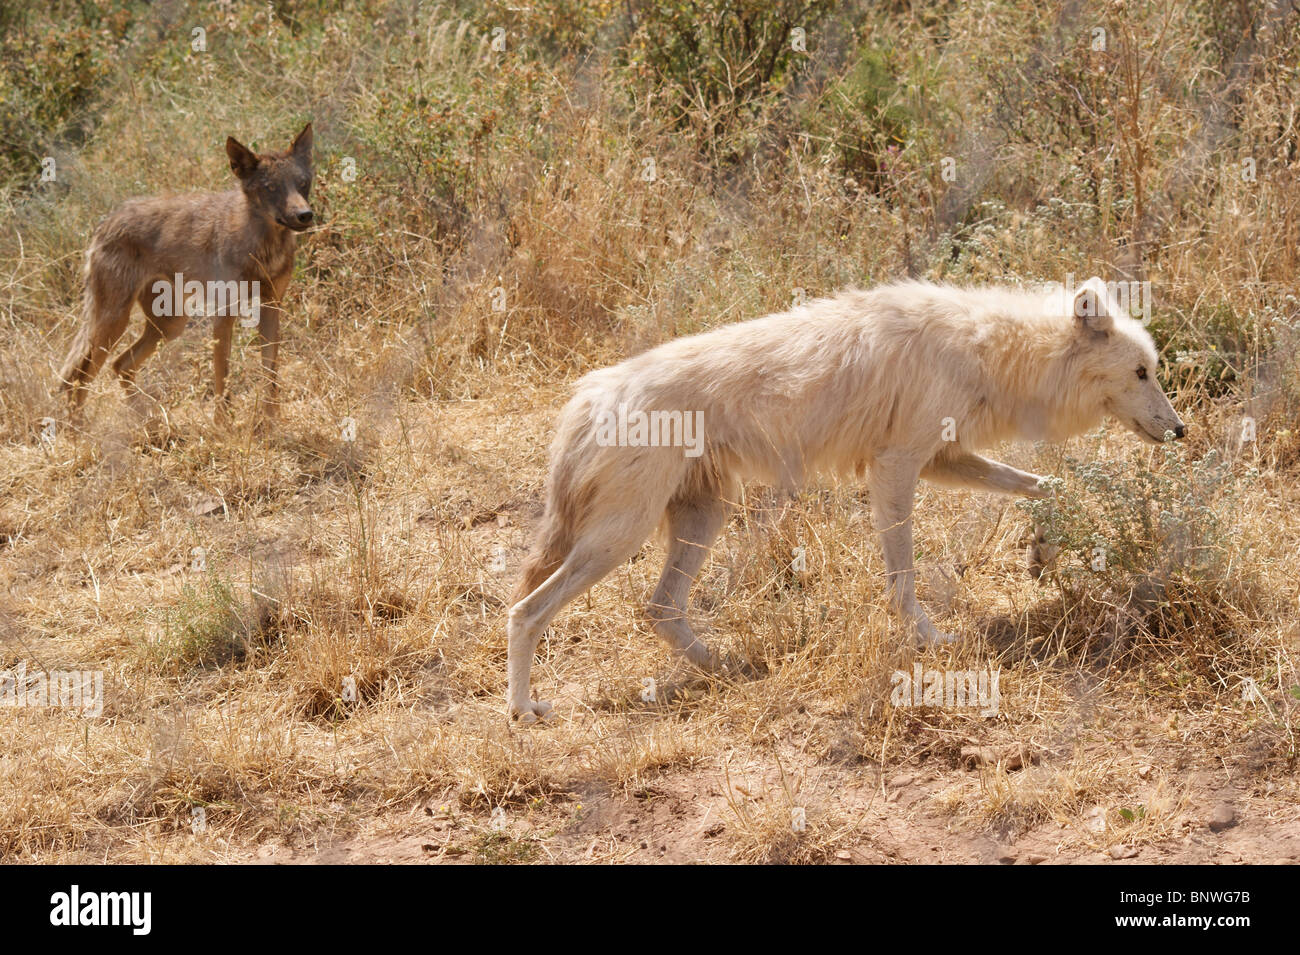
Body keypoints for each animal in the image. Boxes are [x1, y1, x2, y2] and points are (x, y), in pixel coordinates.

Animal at [58, 123, 315, 426]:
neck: (263, 245)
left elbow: (271, 375)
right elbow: (222, 378)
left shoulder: (271, 307)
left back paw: (150, 423)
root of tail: (105, 222)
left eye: (302, 183)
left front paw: (272, 422)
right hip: (113, 324)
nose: (305, 215)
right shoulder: (224, 313)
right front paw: (223, 427)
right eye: (271, 188)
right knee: (77, 377)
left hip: (169, 324)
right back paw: (78, 432)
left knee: (120, 364)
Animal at [506, 278, 1186, 722]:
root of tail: (586, 397)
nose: (1180, 431)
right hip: (621, 538)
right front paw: (930, 640)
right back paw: (522, 711)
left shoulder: (942, 460)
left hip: (701, 519)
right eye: (1142, 373)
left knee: (661, 609)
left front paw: (1043, 549)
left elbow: (1046, 486)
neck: (989, 348)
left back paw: (731, 668)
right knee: (526, 611)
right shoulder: (896, 468)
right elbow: (902, 576)